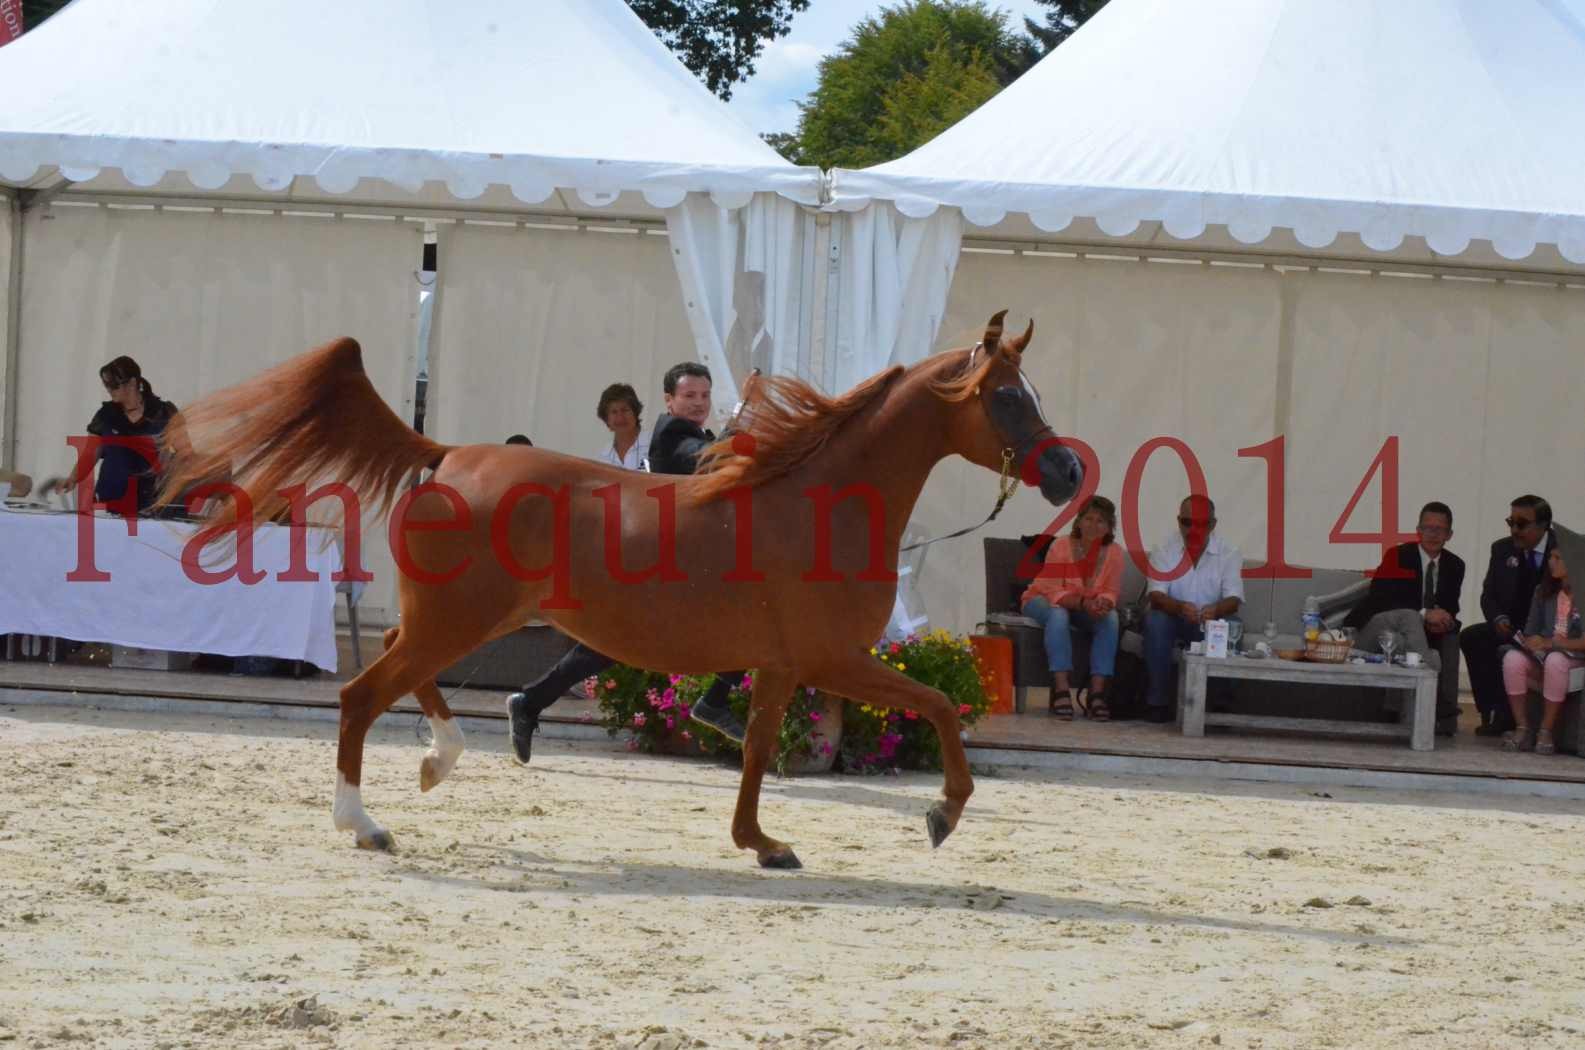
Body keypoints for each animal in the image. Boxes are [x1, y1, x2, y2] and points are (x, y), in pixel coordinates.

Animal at [157, 312, 1077, 869]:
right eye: (1004, 396)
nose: (1068, 473)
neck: (817, 504)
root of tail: (446, 454)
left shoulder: (785, 666)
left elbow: (753, 749)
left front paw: (760, 842)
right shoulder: (832, 658)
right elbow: (941, 707)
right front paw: (942, 815)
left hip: (453, 618)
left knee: (392, 666)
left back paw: (438, 761)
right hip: (458, 621)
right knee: (359, 693)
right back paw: (368, 824)